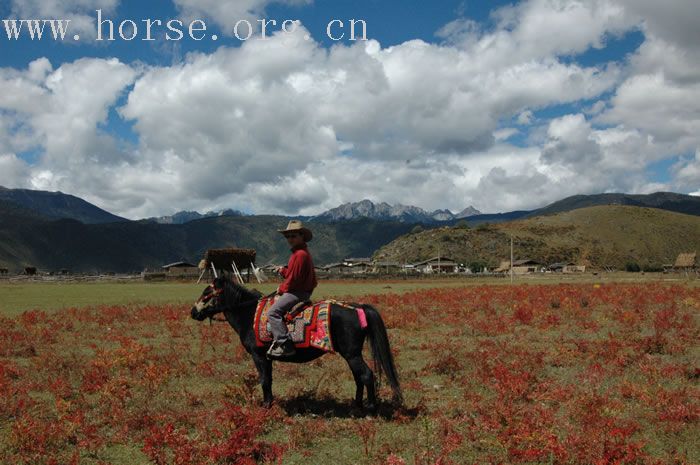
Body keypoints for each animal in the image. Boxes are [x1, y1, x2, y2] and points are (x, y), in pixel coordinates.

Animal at [189, 276, 402, 410]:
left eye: (207, 293)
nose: (193, 312)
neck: (248, 314)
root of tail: (358, 308)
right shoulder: (267, 358)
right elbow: (269, 380)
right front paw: (270, 403)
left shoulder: (259, 356)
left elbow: (264, 380)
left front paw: (265, 406)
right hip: (351, 355)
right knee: (359, 377)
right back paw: (356, 405)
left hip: (352, 354)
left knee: (366, 375)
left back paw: (370, 408)